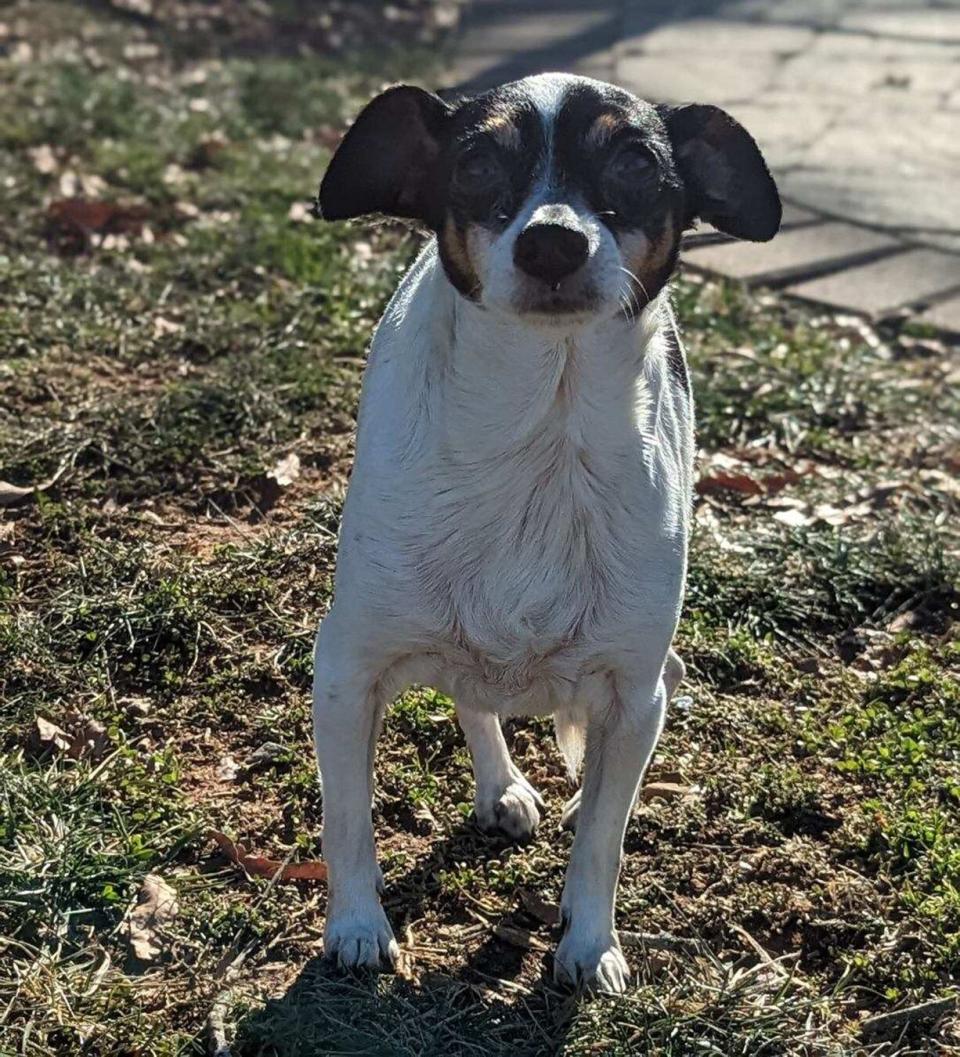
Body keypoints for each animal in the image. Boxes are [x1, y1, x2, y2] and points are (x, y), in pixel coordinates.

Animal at [310, 72, 778, 989]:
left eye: (636, 161)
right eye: (476, 161)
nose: (552, 243)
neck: (542, 429)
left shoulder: (634, 701)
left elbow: (602, 837)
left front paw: (590, 942)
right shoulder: (345, 672)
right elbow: (348, 820)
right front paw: (356, 925)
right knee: (472, 693)